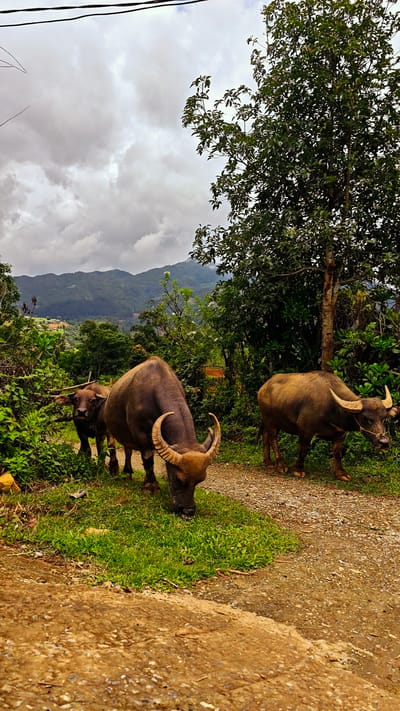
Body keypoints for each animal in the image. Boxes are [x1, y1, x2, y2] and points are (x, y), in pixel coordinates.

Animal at [104, 356, 221, 516]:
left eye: (200, 480)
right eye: (178, 479)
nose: (188, 510)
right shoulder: (141, 435)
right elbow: (148, 460)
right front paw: (150, 486)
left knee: (128, 450)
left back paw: (128, 473)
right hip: (109, 427)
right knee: (112, 445)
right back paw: (114, 469)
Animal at [257, 371, 397, 481]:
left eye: (384, 418)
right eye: (366, 418)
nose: (384, 443)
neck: (333, 408)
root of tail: (263, 388)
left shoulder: (340, 434)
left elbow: (337, 453)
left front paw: (341, 473)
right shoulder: (305, 430)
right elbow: (303, 449)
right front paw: (298, 470)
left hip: (269, 421)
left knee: (265, 435)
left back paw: (268, 462)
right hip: (271, 420)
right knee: (273, 439)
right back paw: (281, 465)